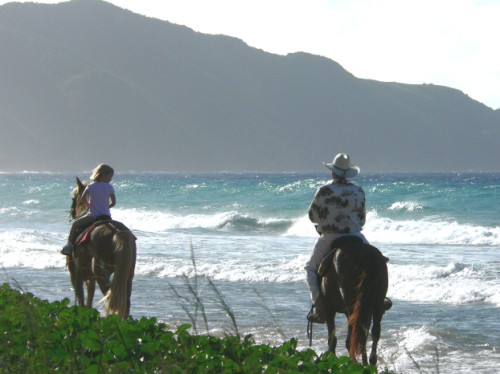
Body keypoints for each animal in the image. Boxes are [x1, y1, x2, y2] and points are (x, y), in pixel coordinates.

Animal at [66, 177, 138, 318]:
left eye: (74, 197)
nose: (72, 212)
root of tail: (118, 232)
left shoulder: (75, 275)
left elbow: (82, 301)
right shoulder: (90, 278)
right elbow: (88, 302)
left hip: (101, 273)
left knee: (111, 298)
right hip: (128, 275)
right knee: (124, 303)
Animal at [316, 237, 390, 366]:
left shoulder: (330, 309)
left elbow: (332, 339)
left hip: (353, 306)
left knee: (358, 334)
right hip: (376, 303)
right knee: (372, 332)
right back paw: (371, 362)